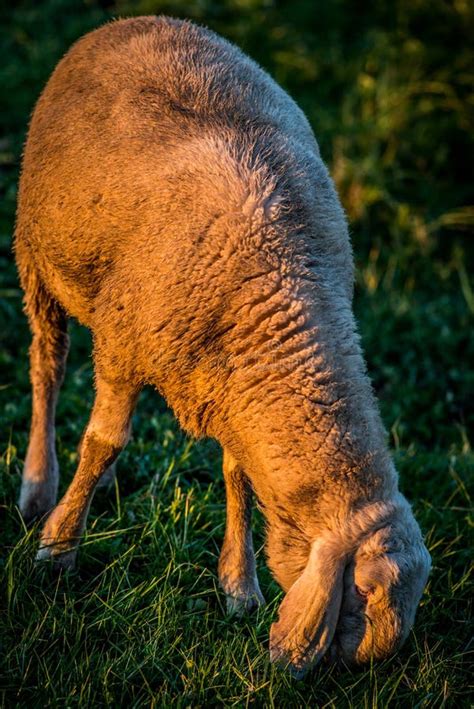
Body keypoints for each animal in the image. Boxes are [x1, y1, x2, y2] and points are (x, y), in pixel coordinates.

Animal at [14, 16, 432, 676]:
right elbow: (105, 442)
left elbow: (238, 478)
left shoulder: (231, 389)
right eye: (362, 592)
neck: (283, 291)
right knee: (46, 370)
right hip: (38, 256)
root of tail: (142, 20)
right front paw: (57, 552)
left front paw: (239, 586)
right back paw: (41, 489)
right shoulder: (125, 342)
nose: (354, 670)